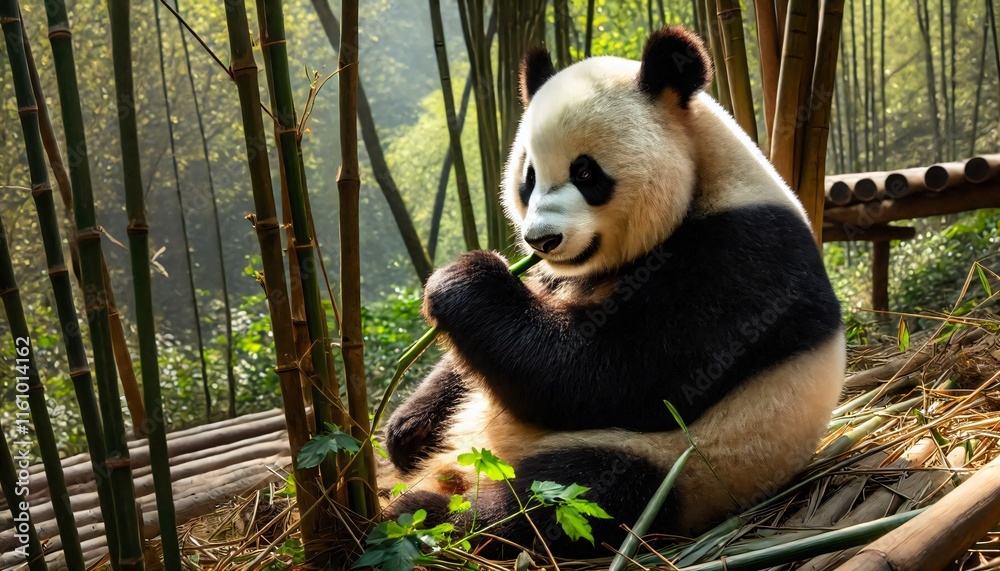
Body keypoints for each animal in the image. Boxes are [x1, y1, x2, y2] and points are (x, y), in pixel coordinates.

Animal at [381, 25, 845, 559]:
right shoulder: (559, 276)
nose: (542, 240)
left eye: (585, 172)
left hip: (686, 463)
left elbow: (611, 372)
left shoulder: (744, 260)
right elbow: (477, 359)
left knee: (569, 496)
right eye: (528, 177)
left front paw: (462, 278)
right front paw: (405, 427)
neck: (706, 175)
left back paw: (428, 514)